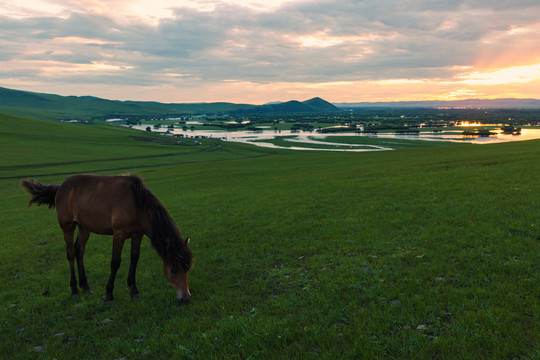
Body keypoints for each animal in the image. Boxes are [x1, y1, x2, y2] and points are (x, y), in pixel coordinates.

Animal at [21, 173, 194, 302]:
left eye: (188, 268)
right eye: (172, 270)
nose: (186, 298)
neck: (136, 203)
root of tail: (61, 187)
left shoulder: (138, 235)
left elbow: (134, 258)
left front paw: (133, 290)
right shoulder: (118, 234)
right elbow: (115, 262)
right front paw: (109, 293)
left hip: (84, 227)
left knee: (79, 251)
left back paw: (86, 286)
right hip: (68, 226)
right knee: (70, 253)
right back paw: (75, 290)